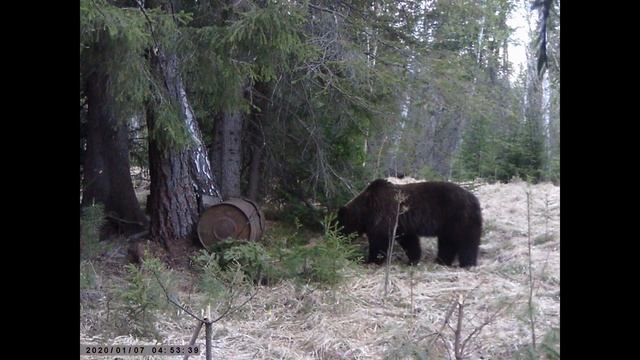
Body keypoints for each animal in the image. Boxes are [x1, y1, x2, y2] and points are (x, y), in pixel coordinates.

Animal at [338, 179, 482, 268]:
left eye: (337, 226)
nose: (336, 239)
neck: (365, 210)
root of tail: (475, 199)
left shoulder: (383, 216)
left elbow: (379, 241)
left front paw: (371, 260)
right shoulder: (401, 225)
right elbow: (409, 241)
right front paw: (413, 259)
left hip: (459, 217)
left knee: (466, 241)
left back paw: (467, 263)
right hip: (448, 225)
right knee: (447, 242)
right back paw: (441, 260)